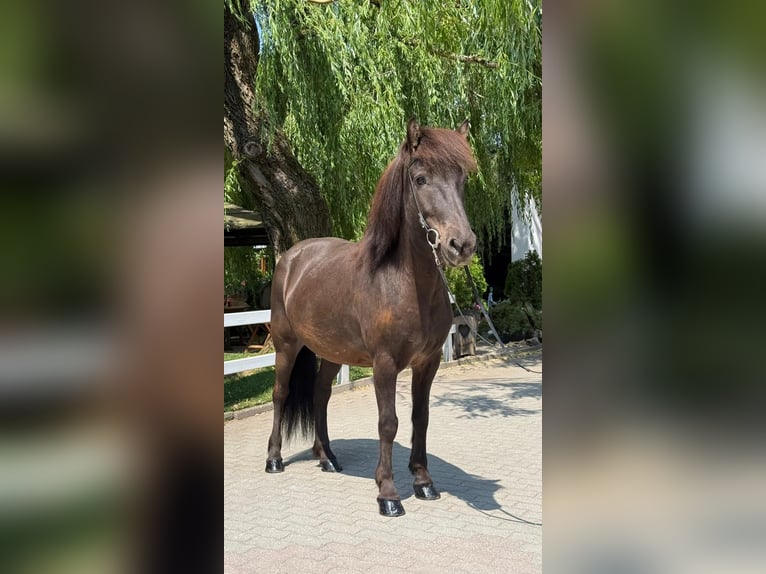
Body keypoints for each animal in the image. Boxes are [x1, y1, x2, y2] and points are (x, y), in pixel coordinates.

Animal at [265, 118, 478, 516]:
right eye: (421, 179)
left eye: (463, 179)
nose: (461, 245)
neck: (403, 283)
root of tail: (292, 257)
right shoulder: (385, 364)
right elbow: (388, 423)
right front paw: (388, 494)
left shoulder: (427, 363)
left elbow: (420, 418)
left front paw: (423, 482)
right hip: (286, 346)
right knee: (280, 394)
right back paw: (273, 459)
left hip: (331, 352)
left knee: (319, 394)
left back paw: (328, 457)